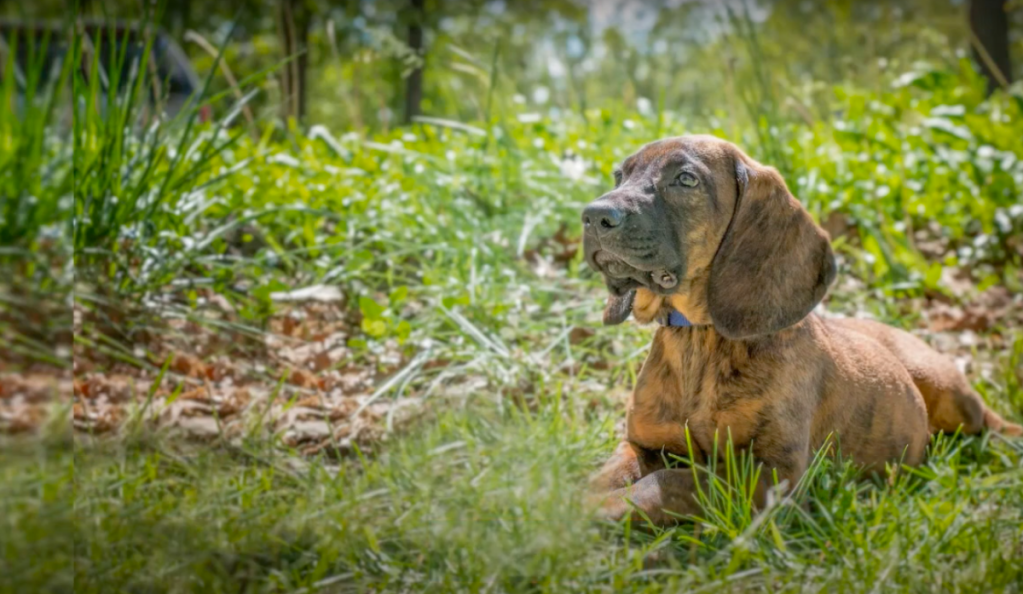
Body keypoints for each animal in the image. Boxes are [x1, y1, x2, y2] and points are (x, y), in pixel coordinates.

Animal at [585, 132, 1023, 523]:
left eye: (686, 179)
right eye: (619, 174)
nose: (592, 216)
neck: (699, 336)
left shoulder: (770, 477)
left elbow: (667, 483)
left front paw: (598, 510)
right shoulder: (641, 443)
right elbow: (606, 474)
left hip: (947, 390)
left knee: (986, 421)